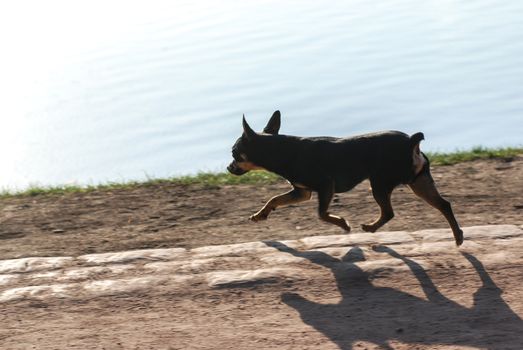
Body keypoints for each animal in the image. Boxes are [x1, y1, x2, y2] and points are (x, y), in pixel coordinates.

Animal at [227, 110, 464, 246]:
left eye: (234, 153)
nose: (229, 168)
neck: (280, 151)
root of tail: (410, 142)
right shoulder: (302, 192)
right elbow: (274, 199)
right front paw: (260, 215)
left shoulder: (325, 186)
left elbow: (322, 214)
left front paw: (342, 223)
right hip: (418, 182)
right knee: (444, 205)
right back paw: (458, 236)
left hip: (380, 183)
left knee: (389, 212)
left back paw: (370, 227)